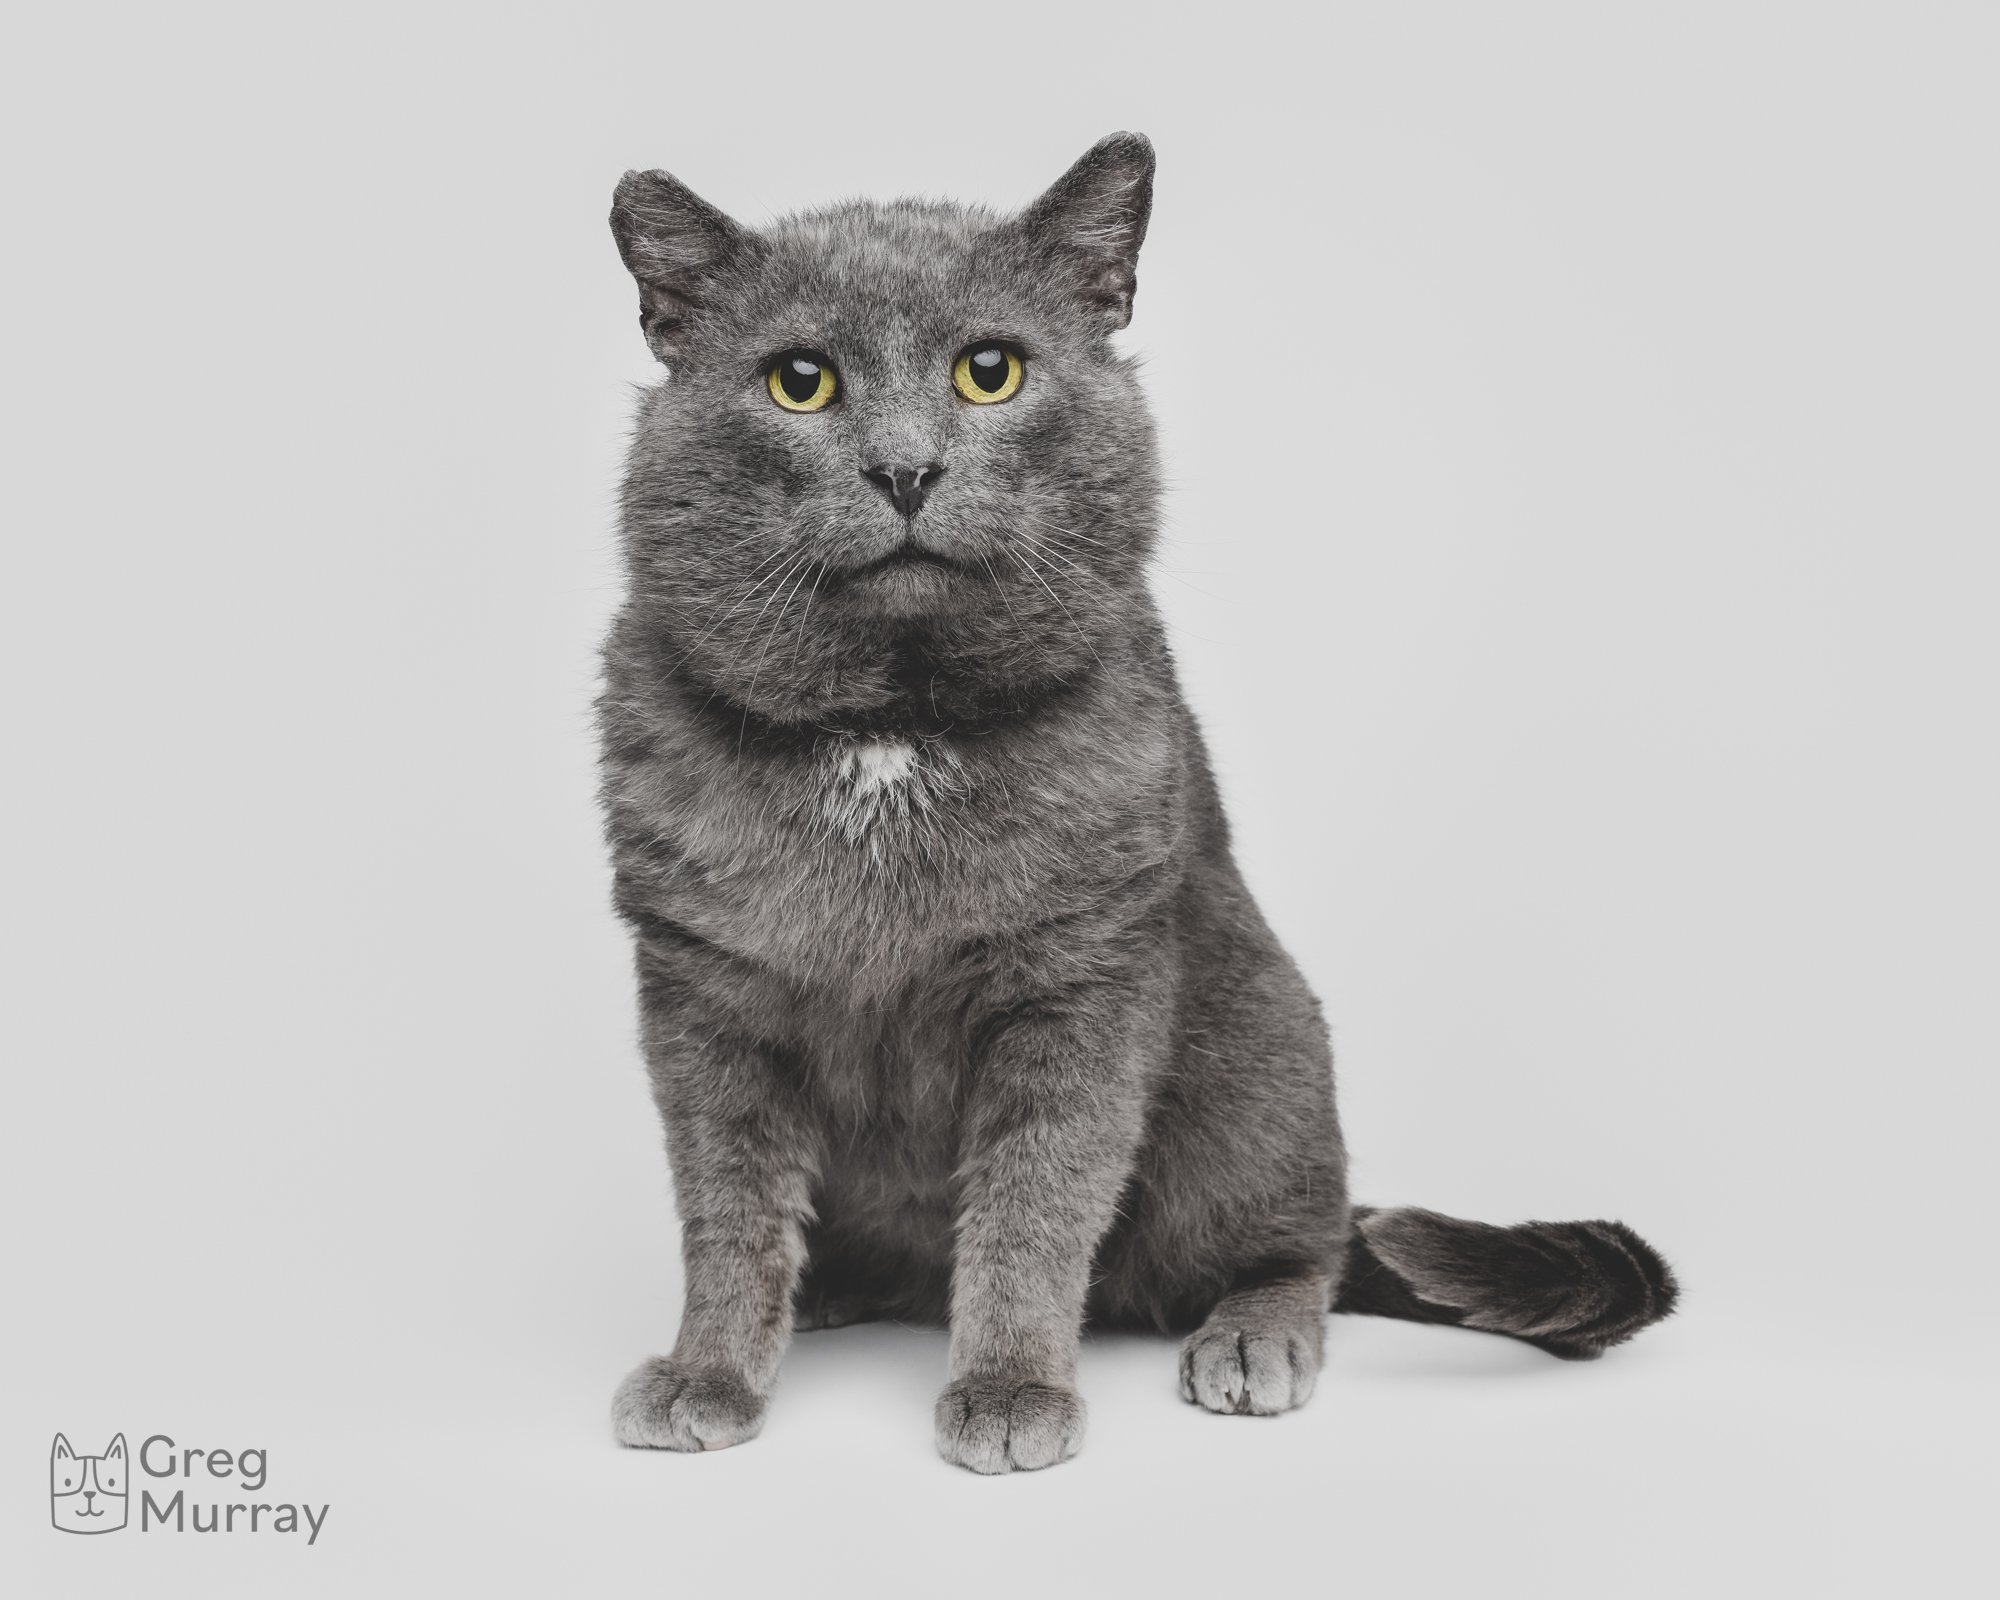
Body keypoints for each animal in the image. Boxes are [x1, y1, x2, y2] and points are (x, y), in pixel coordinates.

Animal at [592, 138, 1672, 1472]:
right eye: (799, 381)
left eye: (989, 370)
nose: (904, 468)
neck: (888, 733)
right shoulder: (700, 992)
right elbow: (726, 1213)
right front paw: (709, 1371)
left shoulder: (1082, 979)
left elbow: (1034, 1204)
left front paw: (1008, 1388)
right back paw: (831, 1286)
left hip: (1257, 1051)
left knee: (1306, 1242)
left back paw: (1251, 1339)